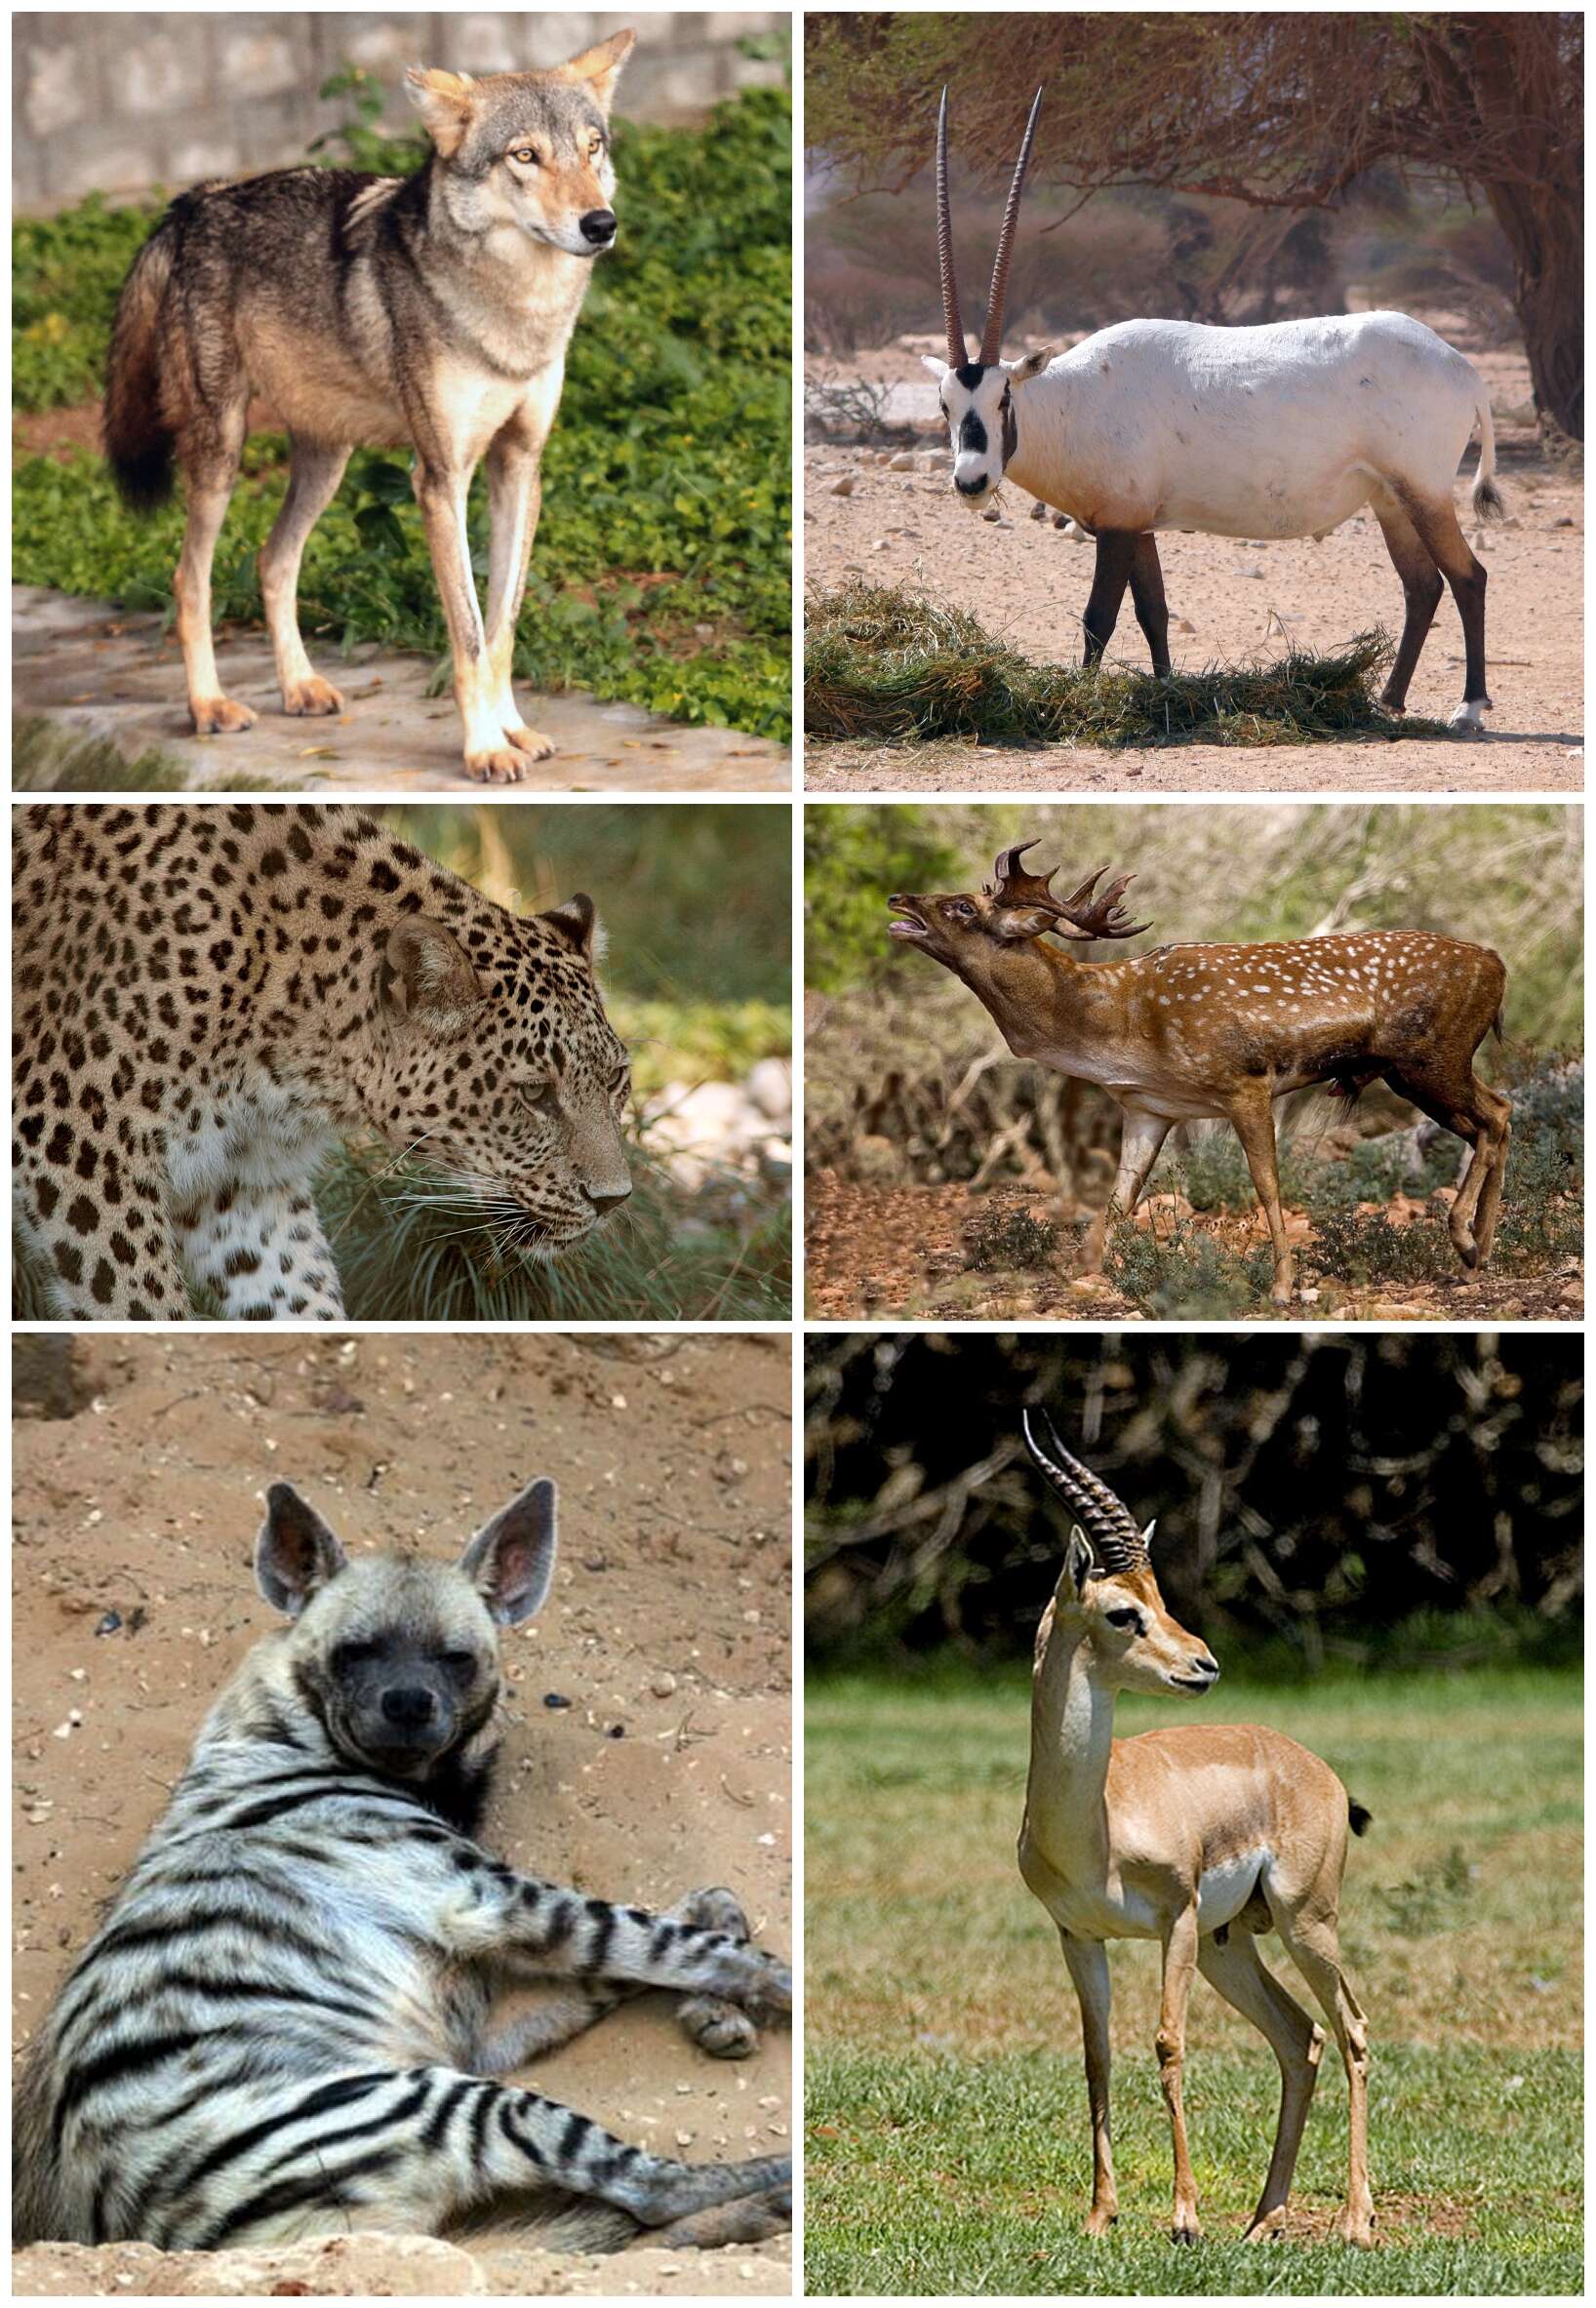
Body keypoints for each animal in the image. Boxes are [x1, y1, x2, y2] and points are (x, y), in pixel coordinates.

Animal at [891, 840, 1515, 1301]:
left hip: (1428, 1060)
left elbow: (1267, 1185)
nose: (898, 900)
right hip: (1422, 1067)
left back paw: (1465, 1243)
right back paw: (1478, 1255)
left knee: (1494, 1115)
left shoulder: (1245, 1082)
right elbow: (1120, 1197)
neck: (1118, 1026)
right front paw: (1087, 1273)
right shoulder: (1148, 1108)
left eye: (963, 907)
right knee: (1501, 1111)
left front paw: (1283, 1288)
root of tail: (1498, 963)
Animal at [1016, 1412, 1377, 2243]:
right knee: (1300, 2038)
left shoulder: (1175, 1919)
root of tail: (1312, 1766)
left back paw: (1355, 2223)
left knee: (1350, 2030)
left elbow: (1169, 2046)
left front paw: (1184, 2218)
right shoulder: (1077, 1936)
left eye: (1162, 1596)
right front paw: (1100, 2215)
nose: (1204, 1664)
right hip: (1231, 1944)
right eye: (1125, 1611)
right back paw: (1263, 2222)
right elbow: (1097, 2056)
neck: (1098, 1823)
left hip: (1305, 1923)